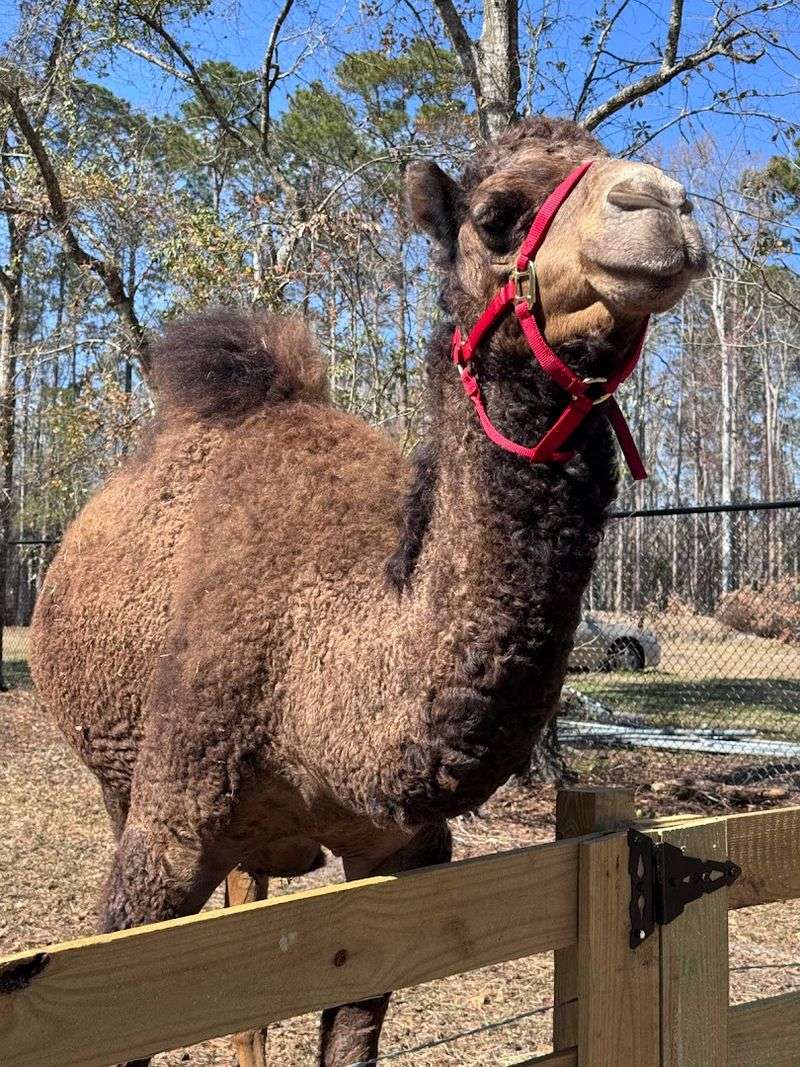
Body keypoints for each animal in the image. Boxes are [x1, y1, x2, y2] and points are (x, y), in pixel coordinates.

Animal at [30, 117, 706, 1067]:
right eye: (497, 216)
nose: (663, 204)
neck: (317, 670)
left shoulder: (397, 853)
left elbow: (348, 1036)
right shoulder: (161, 838)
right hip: (115, 779)